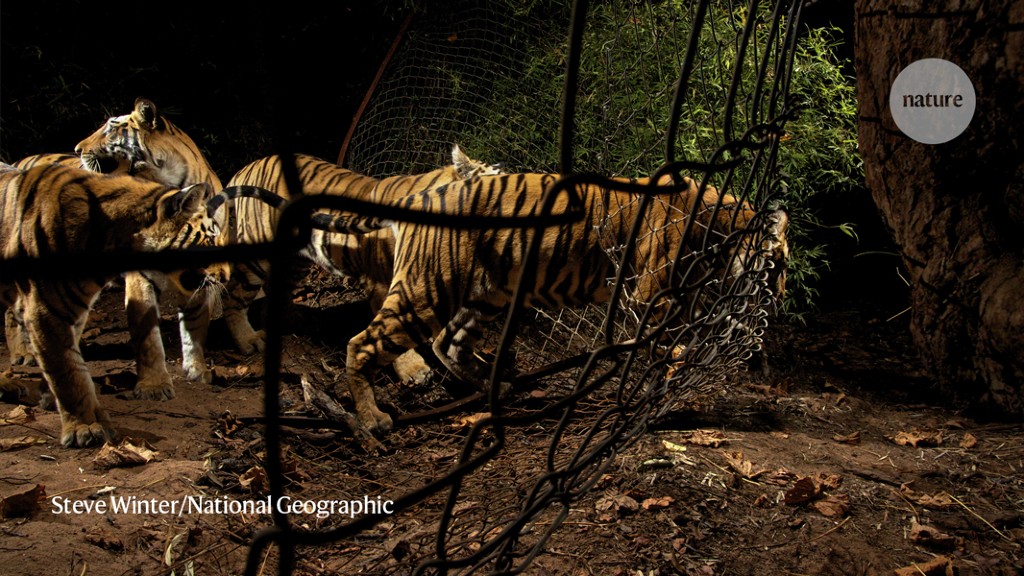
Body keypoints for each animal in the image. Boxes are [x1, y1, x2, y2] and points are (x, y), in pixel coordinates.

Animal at [0, 161, 230, 444]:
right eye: (210, 239)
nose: (227, 276)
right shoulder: (46, 308)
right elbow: (70, 372)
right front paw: (86, 427)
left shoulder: (72, 309)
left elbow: (70, 359)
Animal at [71, 99, 227, 393]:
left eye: (110, 128)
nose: (77, 149)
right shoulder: (140, 275)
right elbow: (148, 337)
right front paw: (154, 386)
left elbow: (195, 325)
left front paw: (197, 370)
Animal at [220, 145, 503, 381]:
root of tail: (248, 167)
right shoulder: (382, 283)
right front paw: (414, 369)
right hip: (258, 253)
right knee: (233, 296)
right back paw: (248, 341)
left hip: (296, 261)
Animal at [311, 170, 790, 430]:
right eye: (779, 266)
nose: (783, 297)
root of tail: (417, 194)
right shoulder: (653, 297)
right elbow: (659, 349)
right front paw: (654, 394)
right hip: (427, 291)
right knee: (362, 344)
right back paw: (372, 420)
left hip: (486, 294)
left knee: (449, 343)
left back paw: (498, 385)